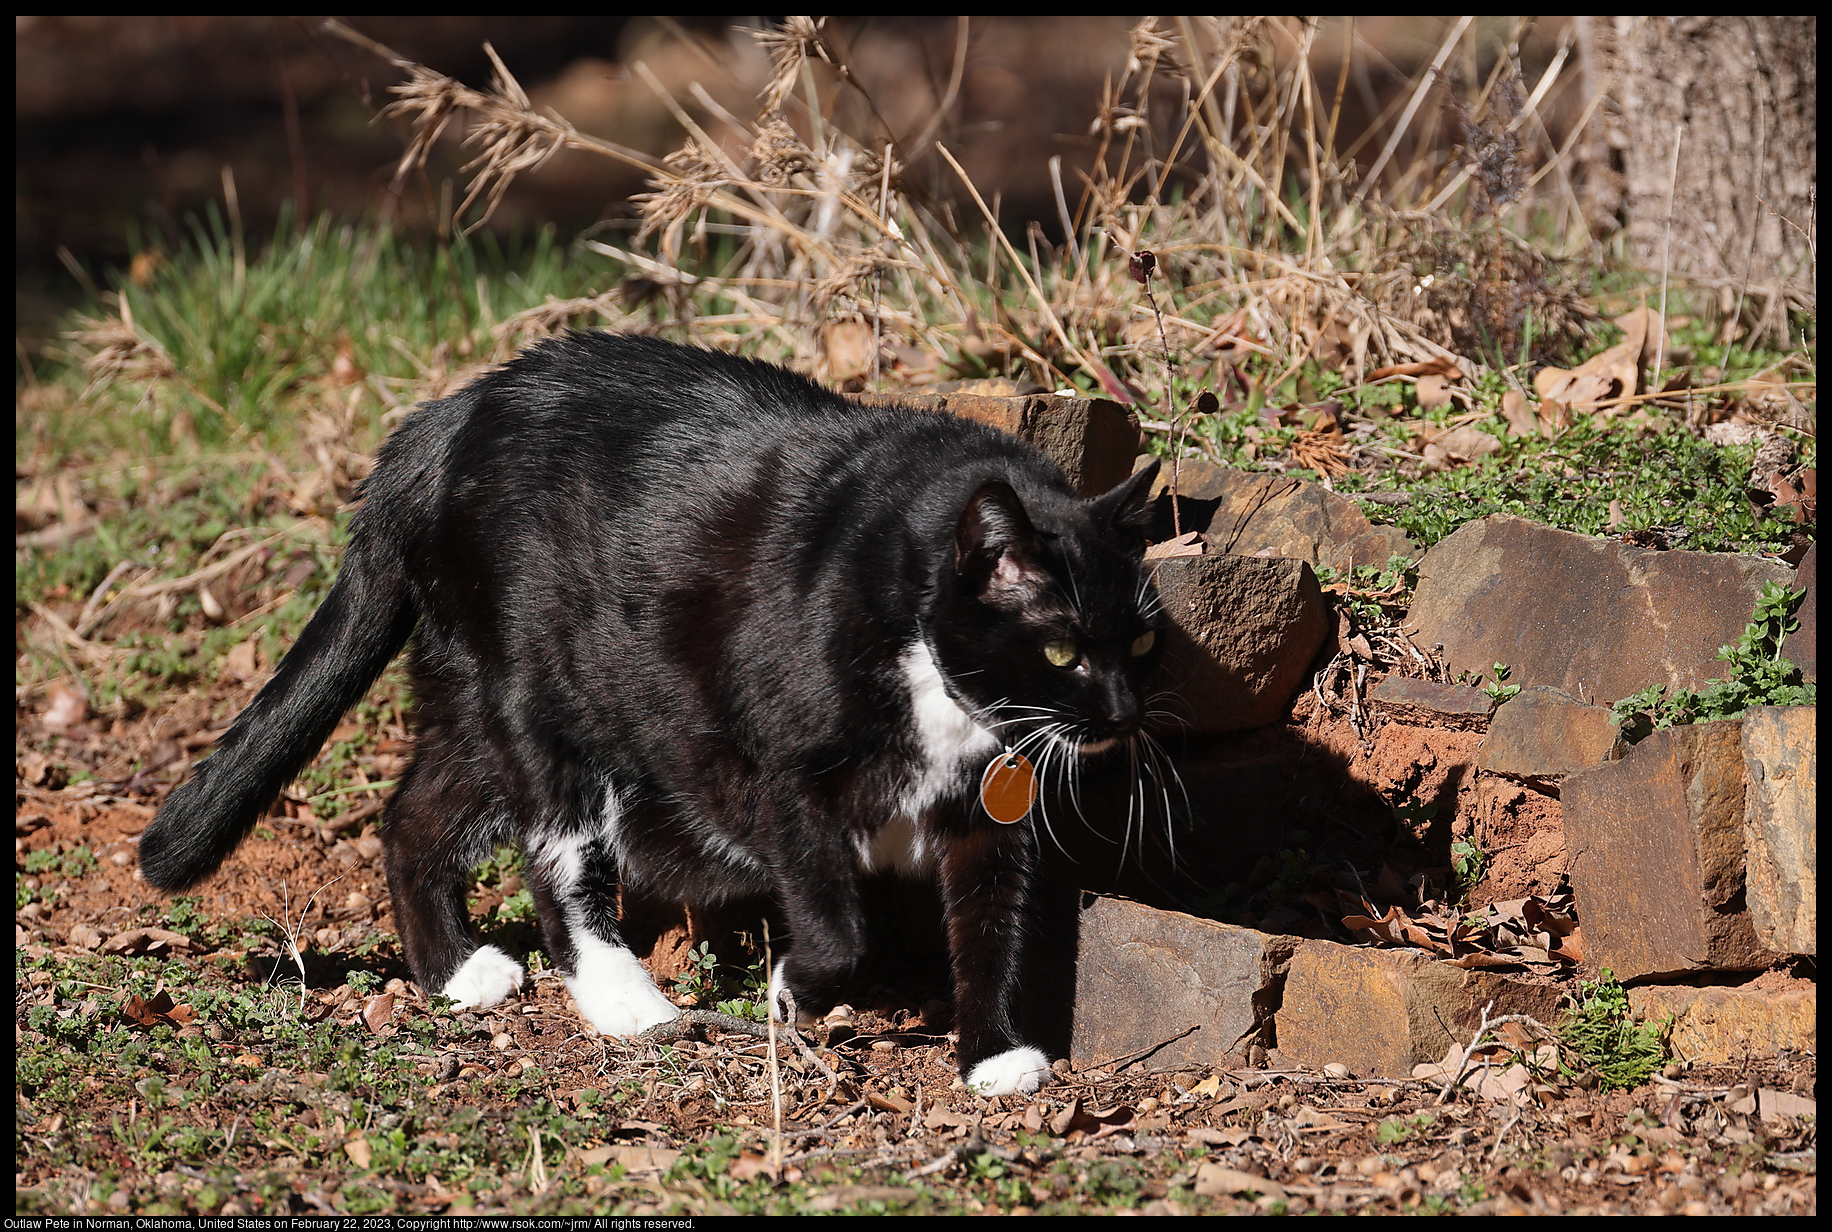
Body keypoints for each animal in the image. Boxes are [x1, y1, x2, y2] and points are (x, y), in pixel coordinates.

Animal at [146, 330, 1172, 1100]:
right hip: (538, 690)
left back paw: (456, 972)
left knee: (412, 816)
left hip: (477, 693)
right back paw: (624, 1001)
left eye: (1143, 644)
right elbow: (841, 926)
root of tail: (438, 424)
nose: (1125, 713)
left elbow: (995, 921)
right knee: (556, 852)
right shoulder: (781, 772)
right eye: (1062, 651)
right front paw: (793, 989)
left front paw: (995, 1055)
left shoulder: (995, 810)